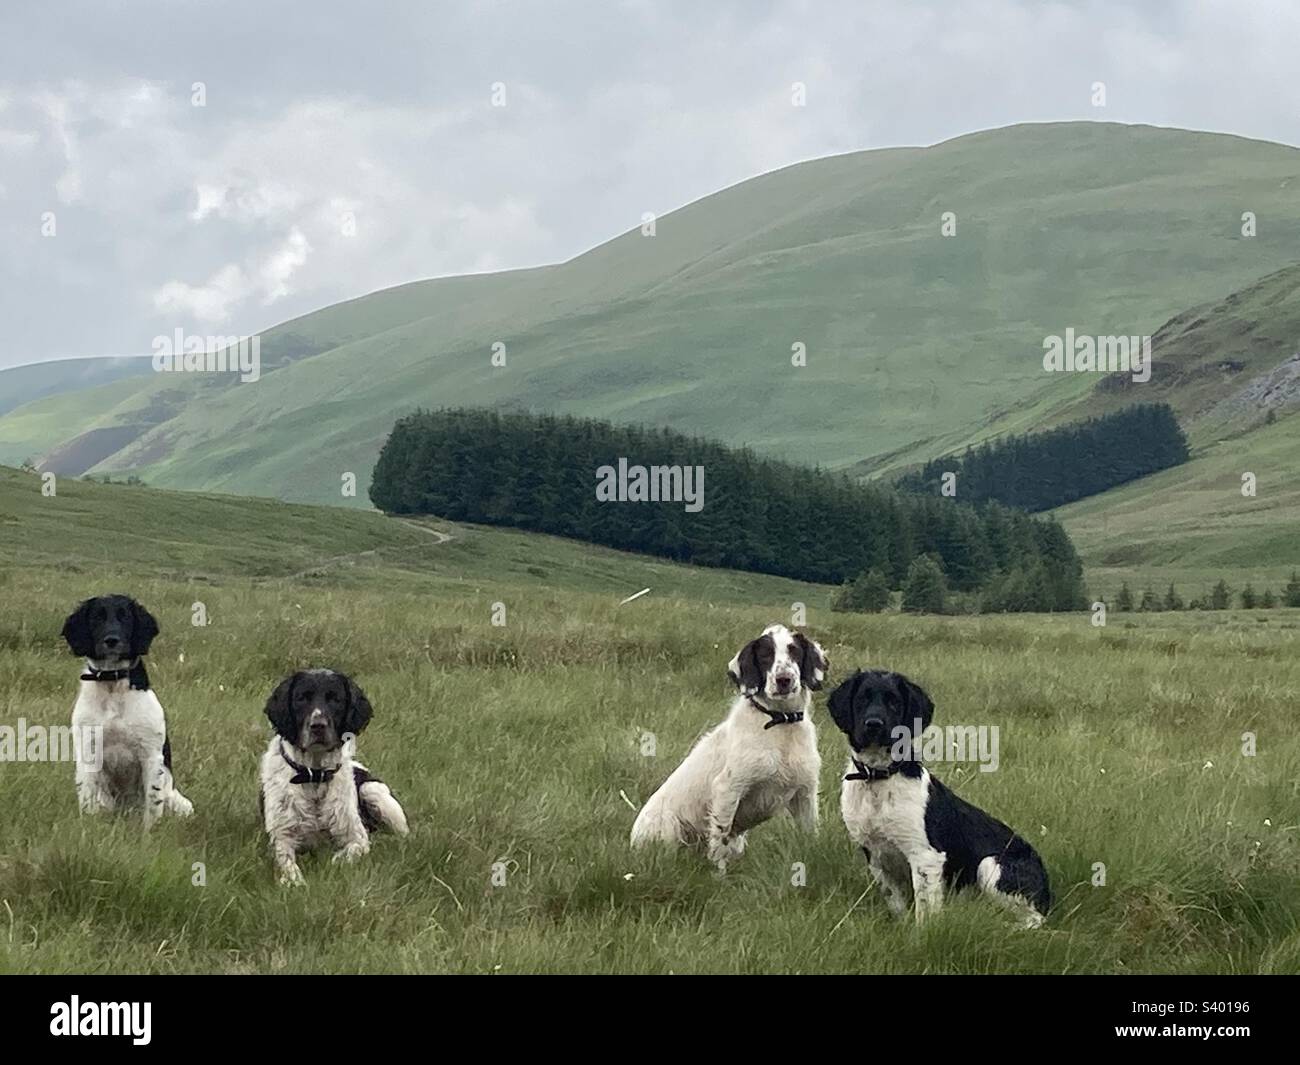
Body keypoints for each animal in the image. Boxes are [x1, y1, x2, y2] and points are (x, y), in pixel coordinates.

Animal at [61, 595, 192, 827]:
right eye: (97, 618)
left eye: (126, 617)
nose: (112, 640)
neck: (112, 685)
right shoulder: (88, 752)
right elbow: (88, 799)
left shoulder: (151, 755)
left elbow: (152, 805)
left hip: (181, 803)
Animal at [257, 670, 408, 889]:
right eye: (301, 698)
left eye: (335, 699)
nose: (318, 726)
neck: (314, 776)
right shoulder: (281, 837)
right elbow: (286, 862)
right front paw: (295, 881)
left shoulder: (357, 837)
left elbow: (344, 855)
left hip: (372, 790)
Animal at [626, 624, 821, 868]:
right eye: (765, 655)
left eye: (794, 651)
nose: (783, 679)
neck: (781, 724)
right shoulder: (728, 789)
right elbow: (720, 842)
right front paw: (720, 874)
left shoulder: (805, 792)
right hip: (669, 825)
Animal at [826, 670, 1050, 931]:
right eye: (862, 698)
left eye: (894, 702)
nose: (874, 724)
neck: (878, 778)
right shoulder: (876, 856)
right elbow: (896, 903)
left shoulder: (926, 857)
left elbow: (925, 911)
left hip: (990, 865)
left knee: (1036, 918)